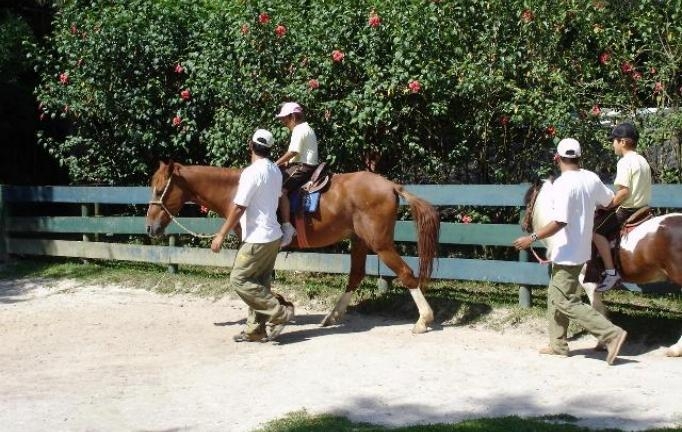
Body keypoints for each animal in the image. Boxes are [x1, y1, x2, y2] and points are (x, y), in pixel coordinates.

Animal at [145, 160, 438, 332]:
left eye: (160, 190)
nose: (150, 228)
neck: (238, 191)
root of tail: (390, 185)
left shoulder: (252, 242)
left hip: (380, 243)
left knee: (406, 274)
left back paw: (423, 320)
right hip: (360, 241)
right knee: (356, 276)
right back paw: (331, 317)